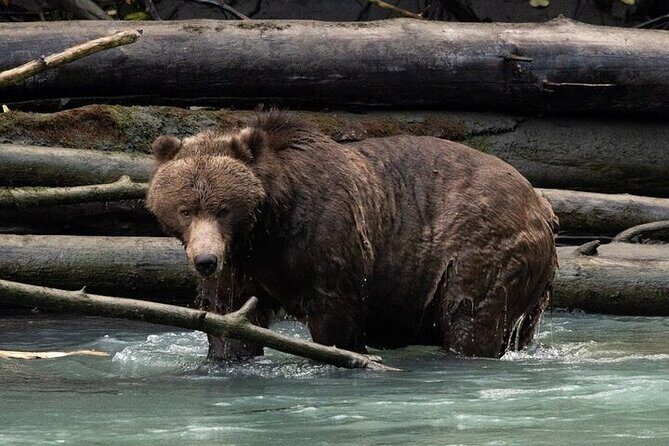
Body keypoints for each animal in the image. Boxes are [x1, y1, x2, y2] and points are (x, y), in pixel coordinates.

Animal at [146, 112, 558, 360]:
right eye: (185, 209)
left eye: (223, 208)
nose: (205, 260)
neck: (267, 225)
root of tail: (541, 203)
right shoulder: (241, 261)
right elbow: (229, 315)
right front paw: (226, 354)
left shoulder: (324, 239)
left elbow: (335, 316)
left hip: (480, 245)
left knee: (470, 315)